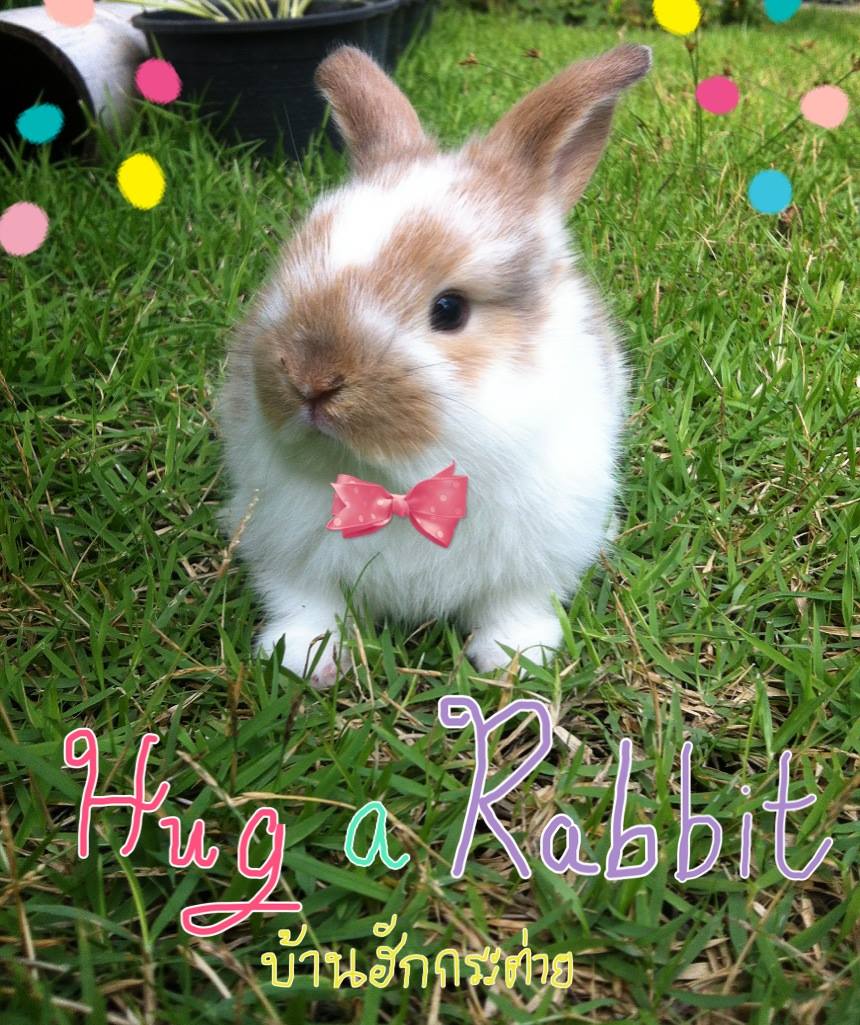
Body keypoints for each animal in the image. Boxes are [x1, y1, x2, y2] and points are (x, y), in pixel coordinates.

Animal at [218, 43, 651, 686]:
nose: (310, 380)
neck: (398, 484)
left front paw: (513, 660)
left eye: (449, 310)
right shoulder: (285, 541)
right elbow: (305, 600)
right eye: (286, 268)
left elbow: (517, 605)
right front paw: (304, 659)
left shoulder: (537, 552)